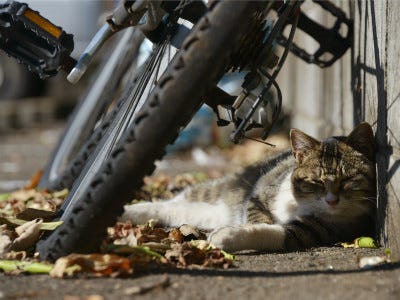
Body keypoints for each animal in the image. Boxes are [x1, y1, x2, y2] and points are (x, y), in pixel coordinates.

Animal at [120, 122, 376, 251]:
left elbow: (276, 232)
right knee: (175, 202)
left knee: (181, 209)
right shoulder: (258, 196)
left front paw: (227, 235)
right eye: (317, 181)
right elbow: (258, 218)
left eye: (348, 180)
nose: (332, 200)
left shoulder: (317, 230)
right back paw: (129, 211)